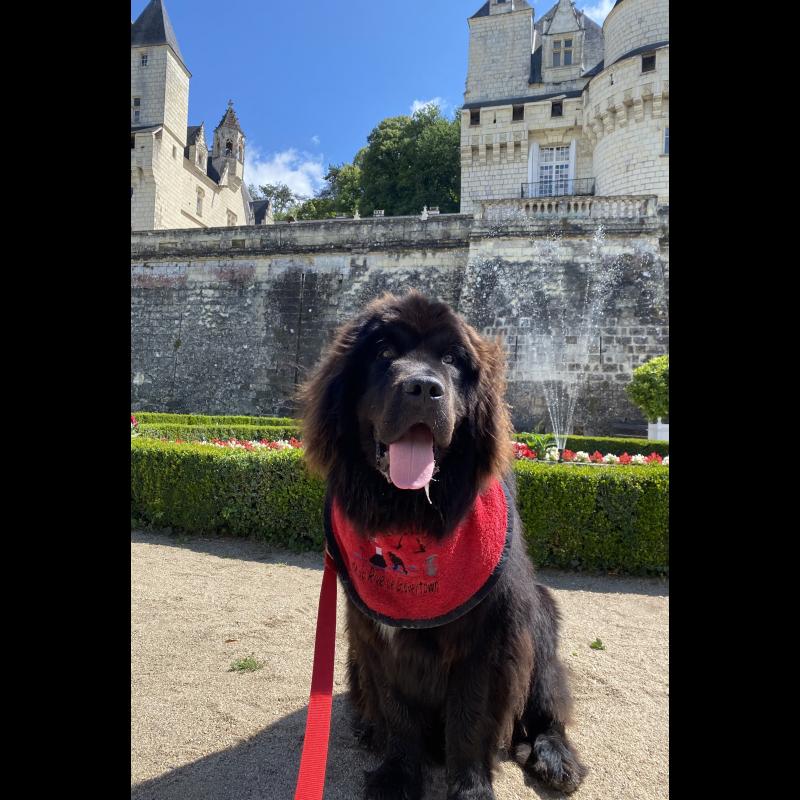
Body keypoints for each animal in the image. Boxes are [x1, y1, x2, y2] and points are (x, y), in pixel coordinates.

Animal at [300, 291, 586, 799]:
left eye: (451, 360)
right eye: (383, 352)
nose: (423, 387)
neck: (411, 517)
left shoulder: (488, 639)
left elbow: (469, 722)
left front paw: (470, 789)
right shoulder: (376, 635)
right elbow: (398, 714)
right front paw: (396, 777)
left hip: (541, 626)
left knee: (547, 710)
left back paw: (556, 759)